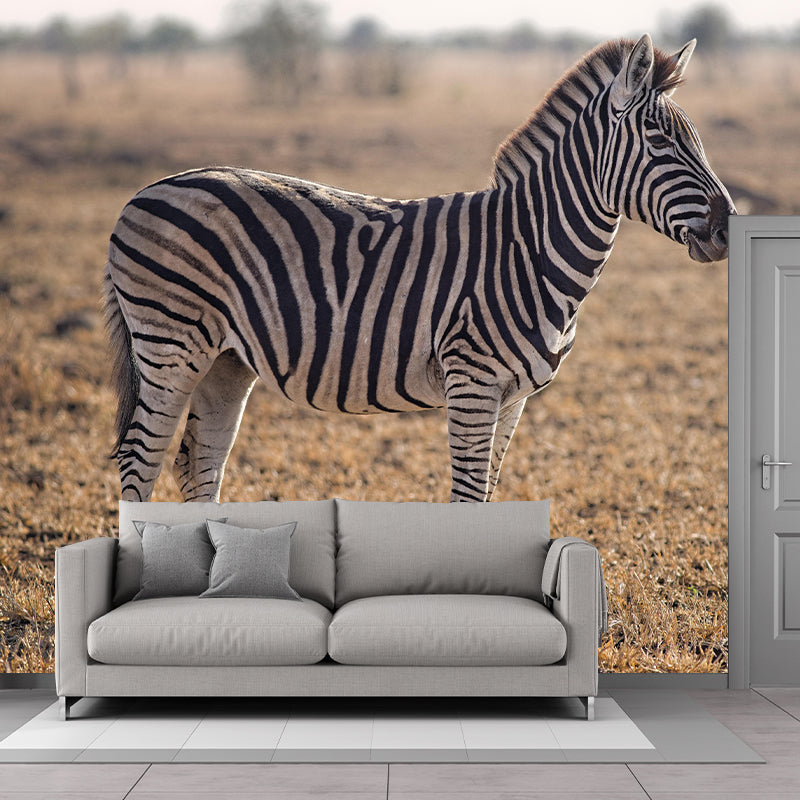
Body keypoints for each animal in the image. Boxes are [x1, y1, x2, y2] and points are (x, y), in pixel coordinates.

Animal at [104, 34, 734, 503]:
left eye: (697, 139)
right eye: (659, 140)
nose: (729, 226)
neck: (528, 248)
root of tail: (144, 192)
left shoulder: (514, 397)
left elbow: (489, 494)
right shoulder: (473, 380)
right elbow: (468, 497)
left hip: (226, 359)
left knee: (199, 460)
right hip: (171, 344)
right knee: (140, 460)